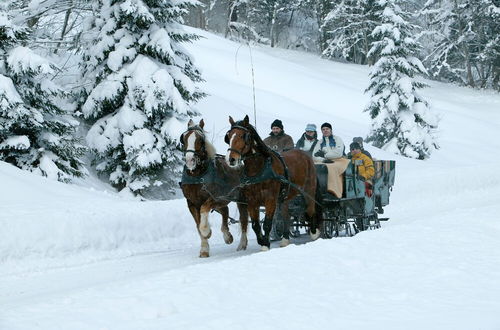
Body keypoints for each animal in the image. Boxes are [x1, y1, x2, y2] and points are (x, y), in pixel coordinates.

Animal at [181, 118, 249, 258]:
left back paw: (241, 243)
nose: (190, 161)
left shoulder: (214, 198)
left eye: (200, 140)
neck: (198, 176)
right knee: (225, 211)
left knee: (243, 220)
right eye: (183, 138)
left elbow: (203, 215)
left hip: (240, 200)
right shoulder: (191, 203)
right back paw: (227, 236)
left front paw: (207, 232)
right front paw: (204, 250)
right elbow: (198, 226)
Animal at [226, 114, 322, 249]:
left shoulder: (270, 199)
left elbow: (267, 223)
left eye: (243, 136)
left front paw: (265, 245)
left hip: (309, 190)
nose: (231, 159)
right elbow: (255, 225)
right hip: (284, 196)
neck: (259, 170)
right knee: (286, 216)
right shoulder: (252, 201)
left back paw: (314, 233)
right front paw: (262, 241)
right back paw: (285, 239)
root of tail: (306, 155)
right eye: (229, 136)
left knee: (310, 209)